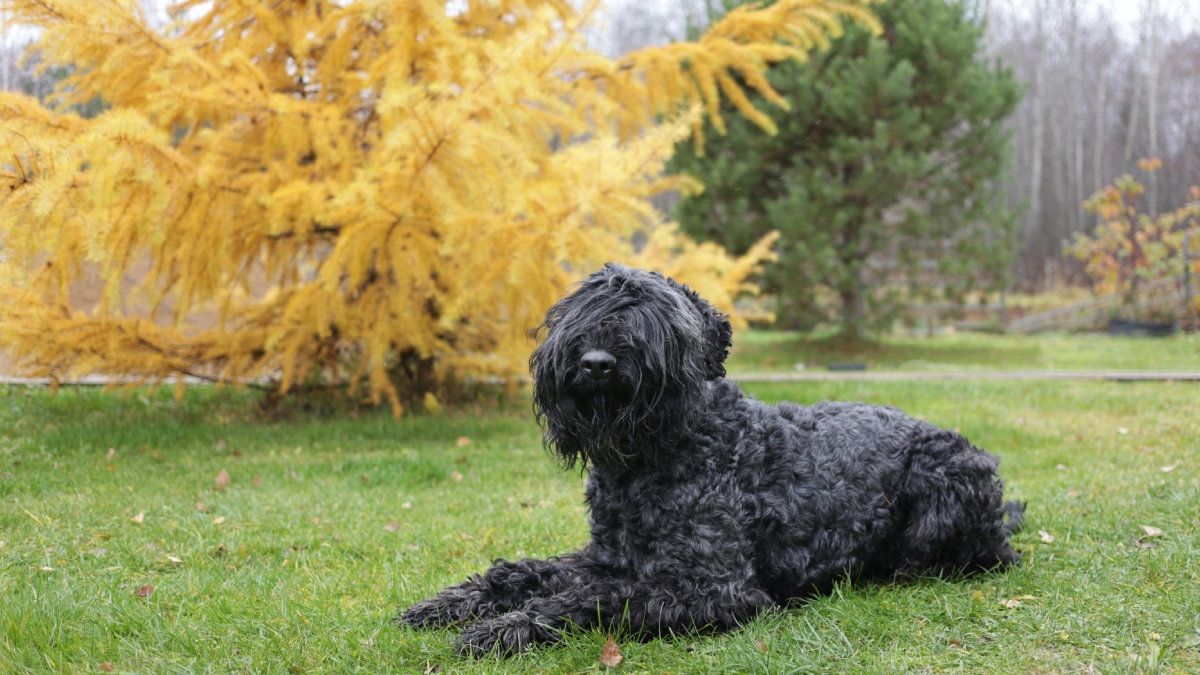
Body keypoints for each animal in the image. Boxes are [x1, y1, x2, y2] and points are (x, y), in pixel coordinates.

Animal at [400, 264, 1022, 658]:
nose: (597, 362)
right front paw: (454, 603)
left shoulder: (716, 590)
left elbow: (587, 599)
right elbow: (523, 571)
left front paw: (508, 627)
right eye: (580, 310)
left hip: (947, 476)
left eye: (655, 318)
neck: (649, 461)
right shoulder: (608, 556)